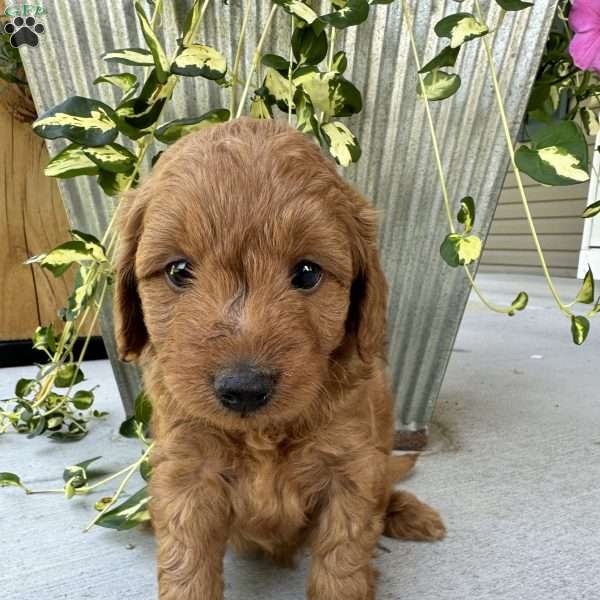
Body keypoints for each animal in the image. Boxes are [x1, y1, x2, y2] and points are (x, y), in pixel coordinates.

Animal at [113, 118, 446, 600]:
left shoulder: (352, 470)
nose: (244, 389)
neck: (263, 434)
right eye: (178, 270)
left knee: (386, 482)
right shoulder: (186, 471)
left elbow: (343, 563)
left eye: (307, 273)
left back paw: (410, 513)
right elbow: (185, 563)